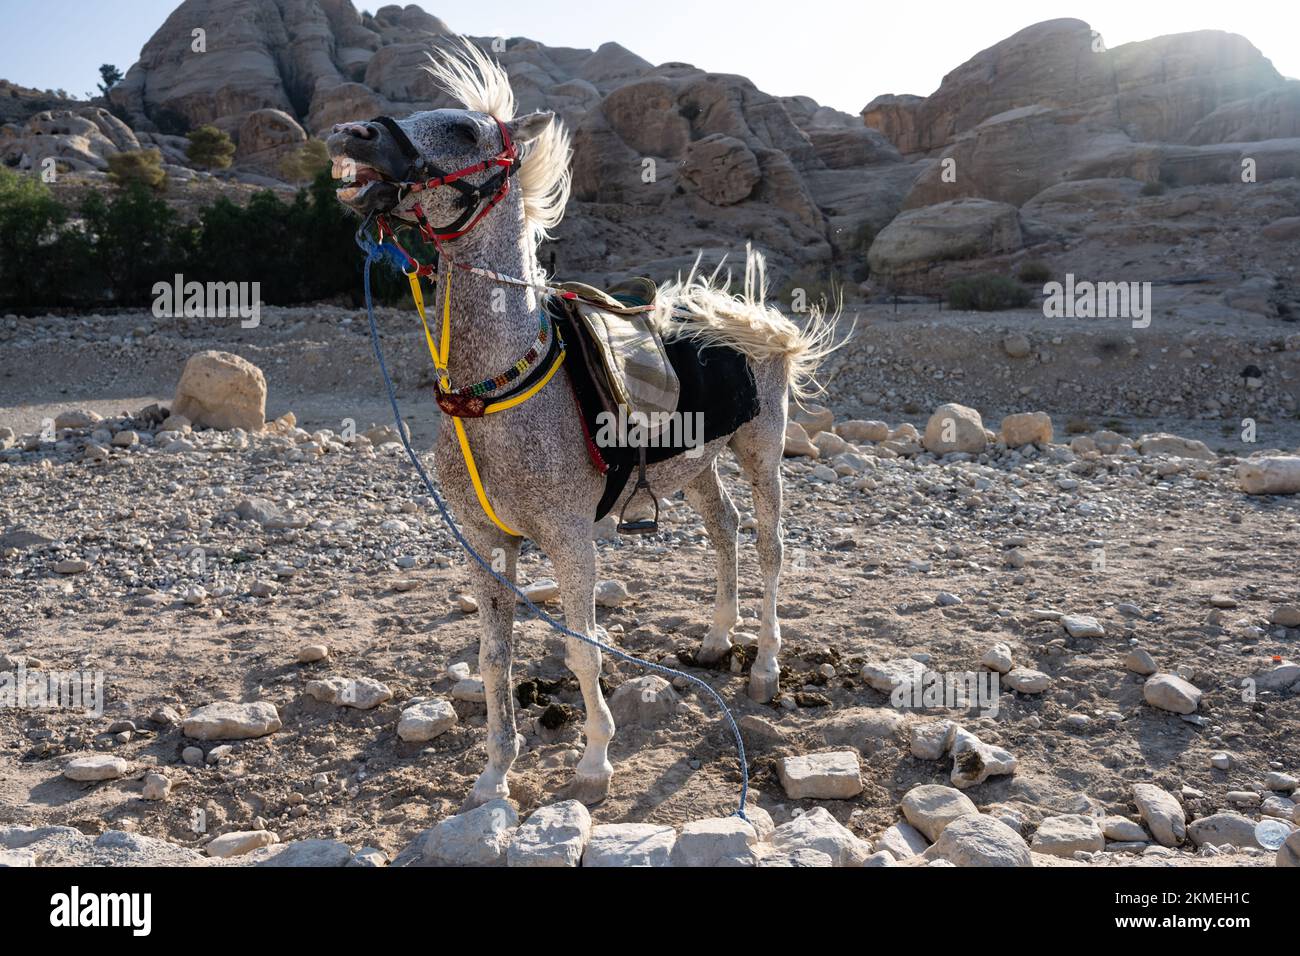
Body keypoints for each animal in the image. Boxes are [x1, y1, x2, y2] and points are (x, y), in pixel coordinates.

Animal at [327, 39, 838, 808]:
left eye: (467, 131)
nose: (350, 133)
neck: (495, 394)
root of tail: (743, 312)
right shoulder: (484, 544)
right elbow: (494, 655)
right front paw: (495, 775)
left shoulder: (571, 541)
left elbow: (581, 645)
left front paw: (595, 761)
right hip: (698, 464)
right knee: (724, 531)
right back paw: (717, 640)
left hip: (761, 447)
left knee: (770, 546)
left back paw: (766, 667)